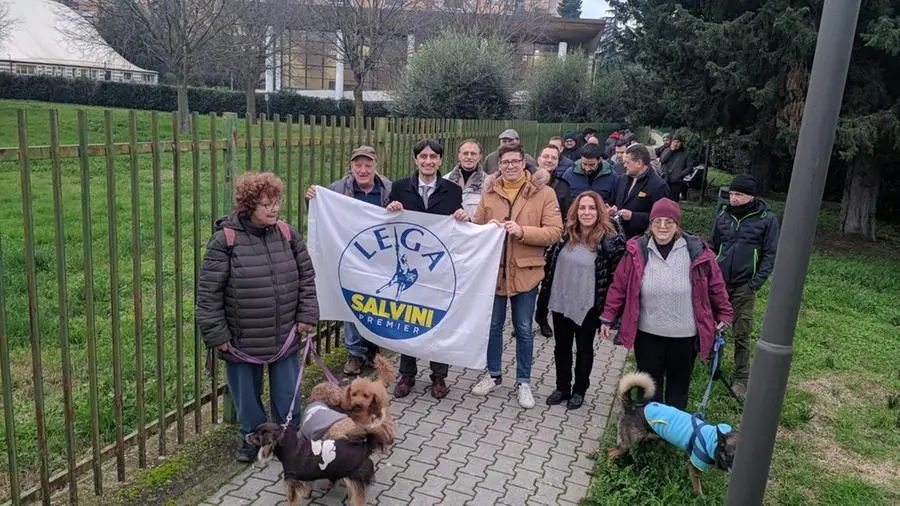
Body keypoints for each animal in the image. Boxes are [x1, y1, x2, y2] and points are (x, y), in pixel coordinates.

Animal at [608, 372, 740, 494]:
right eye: (730, 456)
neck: (713, 441)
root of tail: (632, 407)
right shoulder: (694, 466)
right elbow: (698, 489)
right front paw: (700, 499)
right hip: (628, 444)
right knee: (610, 452)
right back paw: (610, 469)